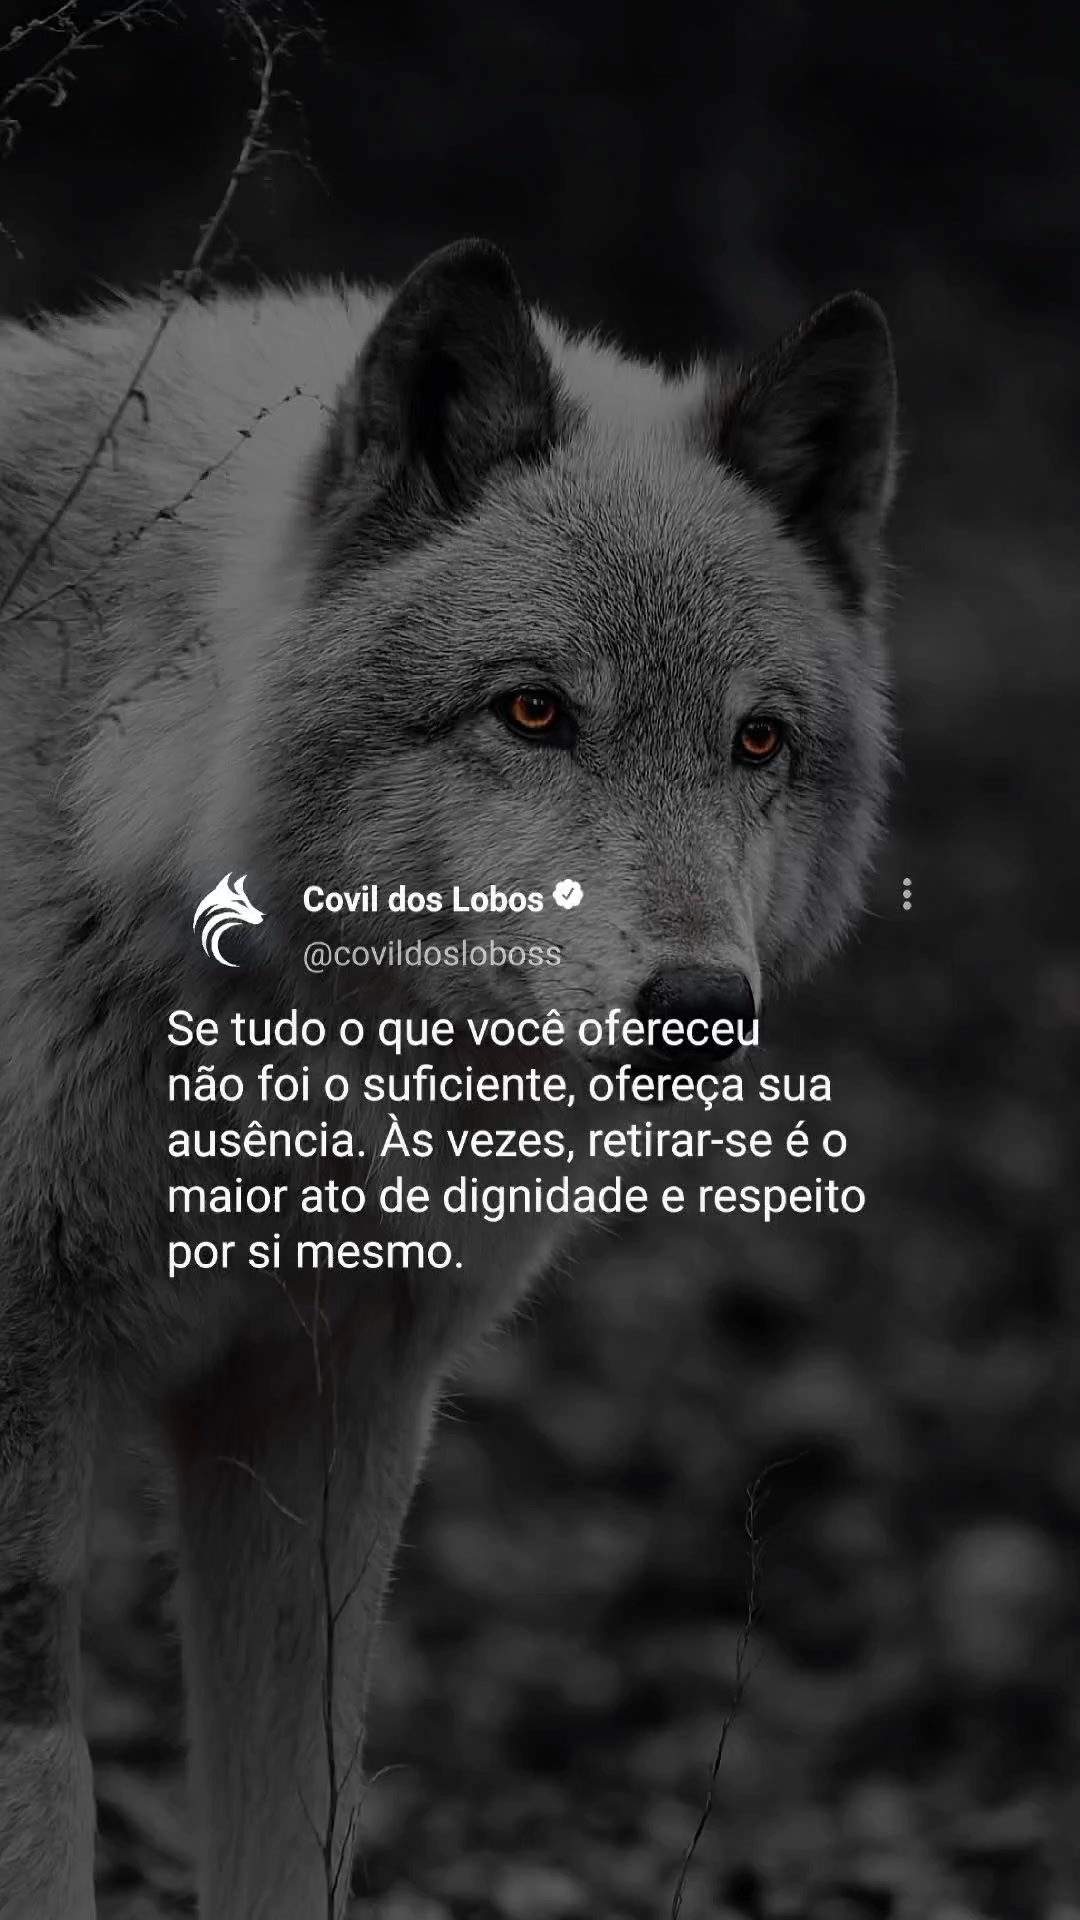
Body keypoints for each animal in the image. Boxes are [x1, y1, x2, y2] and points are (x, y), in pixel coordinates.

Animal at [0, 238, 898, 1917]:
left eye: (757, 742)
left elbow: (298, 1829)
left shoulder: (321, 1396)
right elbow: (48, 1812)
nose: (702, 1008)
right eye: (534, 709)